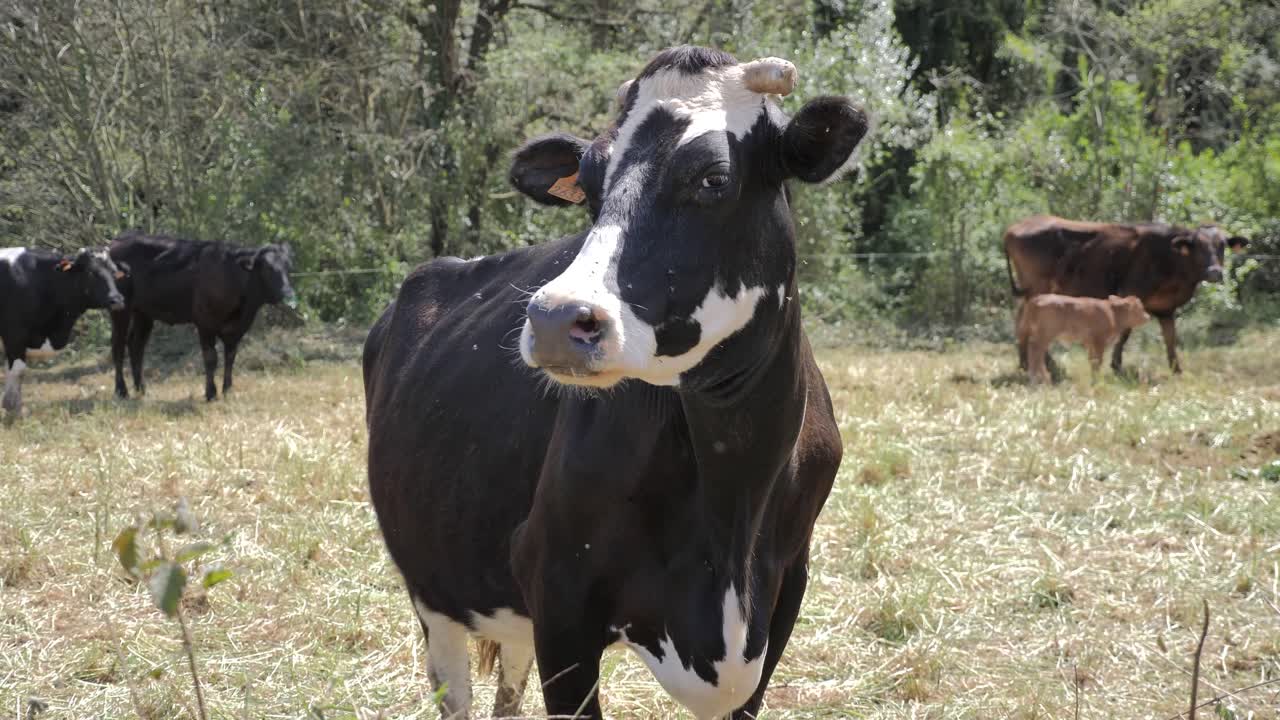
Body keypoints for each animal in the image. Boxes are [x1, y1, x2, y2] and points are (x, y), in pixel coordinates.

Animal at [0, 247, 126, 416]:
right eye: (91, 272)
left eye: (114, 272)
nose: (117, 300)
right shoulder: (14, 335)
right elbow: (18, 370)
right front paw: (14, 410)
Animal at [108, 232, 295, 401]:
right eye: (267, 268)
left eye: (288, 268)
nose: (288, 295)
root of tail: (117, 240)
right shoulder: (205, 323)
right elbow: (211, 358)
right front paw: (211, 393)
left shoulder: (237, 329)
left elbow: (230, 357)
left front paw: (227, 391)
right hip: (120, 310)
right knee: (118, 347)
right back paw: (121, 391)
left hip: (143, 313)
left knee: (136, 345)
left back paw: (141, 390)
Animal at [362, 46, 866, 719]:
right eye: (590, 183)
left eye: (713, 179)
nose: (555, 319)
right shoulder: (558, 592)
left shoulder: (783, 596)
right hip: (433, 585)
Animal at [1004, 215, 1248, 374]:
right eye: (1198, 246)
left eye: (1222, 245)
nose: (1215, 272)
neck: (1170, 259)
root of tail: (1015, 227)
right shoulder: (1131, 293)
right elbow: (1125, 331)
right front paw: (1116, 365)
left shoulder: (1166, 308)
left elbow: (1170, 338)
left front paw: (1176, 369)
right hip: (1037, 290)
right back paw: (1041, 364)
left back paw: (1029, 363)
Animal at [1017, 294, 1151, 384]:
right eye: (1140, 307)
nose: (1148, 317)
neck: (1113, 313)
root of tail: (1037, 298)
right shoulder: (1099, 341)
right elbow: (1098, 361)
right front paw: (1097, 381)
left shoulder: (1090, 343)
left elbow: (1092, 361)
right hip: (1045, 335)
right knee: (1036, 350)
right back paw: (1042, 379)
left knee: (1033, 350)